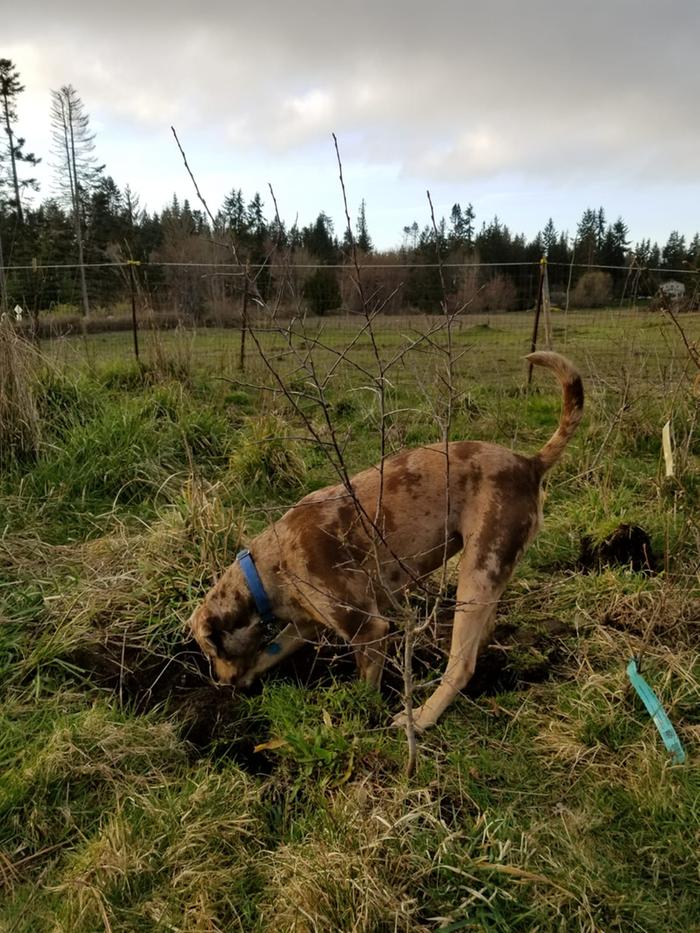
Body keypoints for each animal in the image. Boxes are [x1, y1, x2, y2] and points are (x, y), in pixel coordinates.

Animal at [189, 350, 584, 728]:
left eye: (210, 651)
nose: (221, 684)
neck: (264, 569)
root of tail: (528, 463)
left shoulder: (368, 628)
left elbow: (365, 682)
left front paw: (361, 716)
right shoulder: (305, 624)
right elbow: (275, 648)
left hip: (478, 571)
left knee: (462, 663)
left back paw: (422, 717)